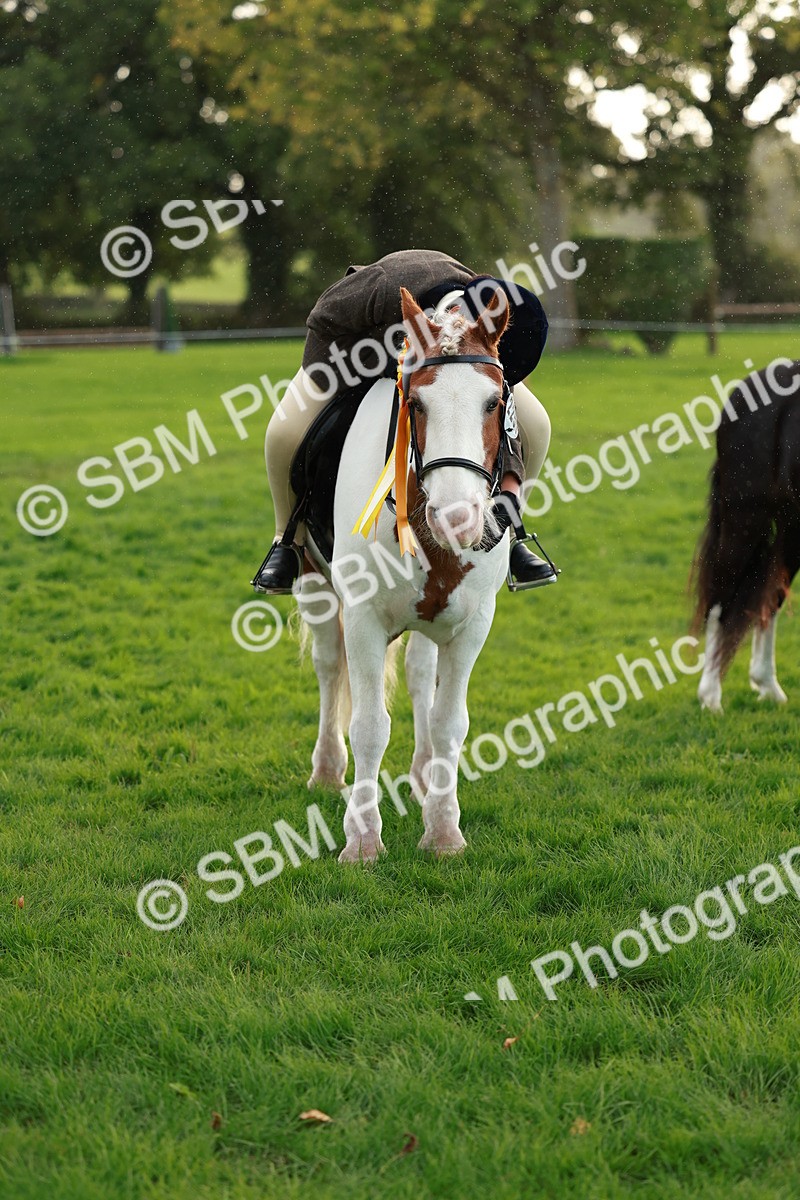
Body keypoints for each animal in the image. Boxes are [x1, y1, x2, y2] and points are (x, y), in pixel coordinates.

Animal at [295, 286, 515, 861]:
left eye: (493, 402)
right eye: (417, 404)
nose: (456, 518)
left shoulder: (472, 624)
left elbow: (449, 722)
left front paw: (443, 830)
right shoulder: (364, 618)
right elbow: (370, 725)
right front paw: (362, 840)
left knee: (419, 676)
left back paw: (421, 774)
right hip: (313, 582)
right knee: (329, 667)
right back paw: (327, 769)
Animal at [693, 357, 800, 712]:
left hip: (791, 526)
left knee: (769, 595)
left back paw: (768, 685)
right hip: (744, 520)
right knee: (720, 600)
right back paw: (711, 697)